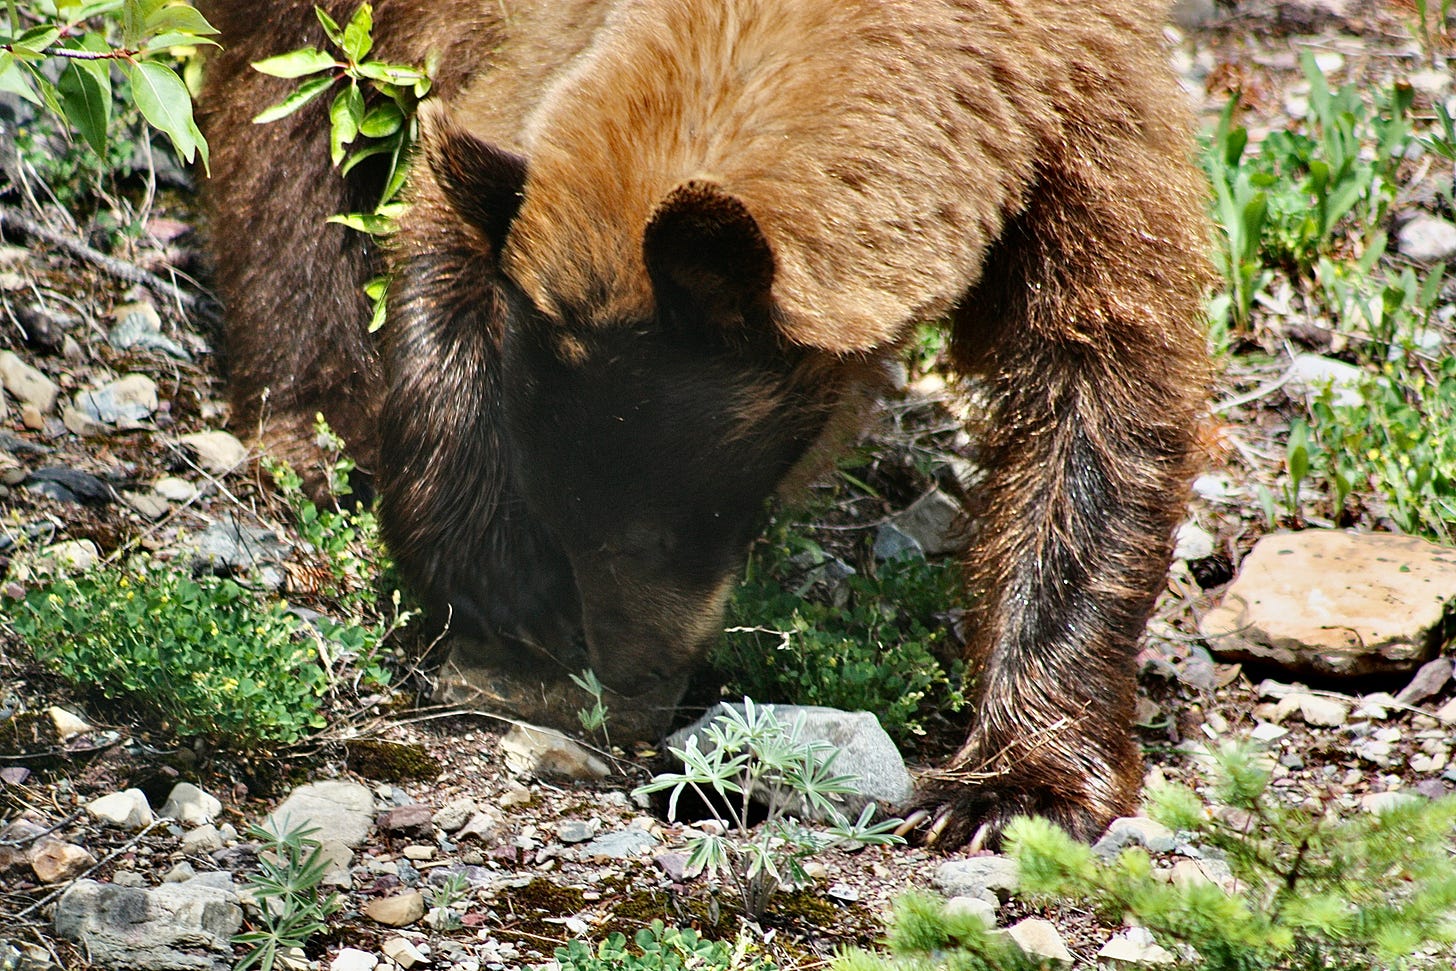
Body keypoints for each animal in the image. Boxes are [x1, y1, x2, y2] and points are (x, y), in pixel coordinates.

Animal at [199, 0, 1211, 844]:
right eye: (567, 519)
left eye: (671, 529)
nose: (634, 697)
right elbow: (448, 219)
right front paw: (499, 581)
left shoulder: (1069, 112)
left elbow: (1102, 384)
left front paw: (1009, 785)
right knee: (279, 102)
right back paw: (314, 403)